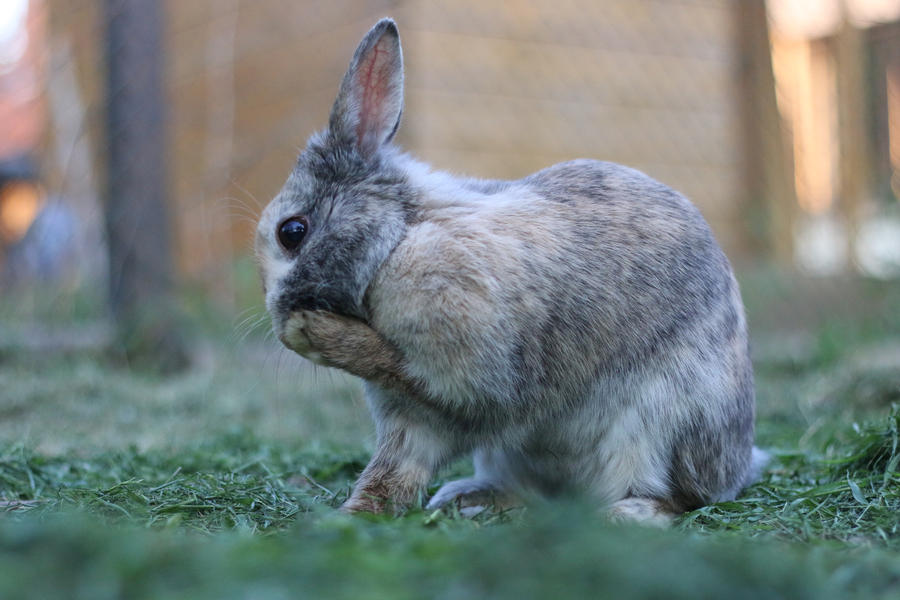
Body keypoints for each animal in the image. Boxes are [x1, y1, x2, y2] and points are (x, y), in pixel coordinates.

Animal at [255, 18, 766, 522]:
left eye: (292, 231)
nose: (279, 317)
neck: (399, 238)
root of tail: (737, 466)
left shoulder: (469, 366)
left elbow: (408, 370)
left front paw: (312, 331)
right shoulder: (412, 418)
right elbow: (394, 470)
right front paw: (357, 512)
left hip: (663, 423)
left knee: (677, 499)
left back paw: (621, 514)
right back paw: (467, 499)